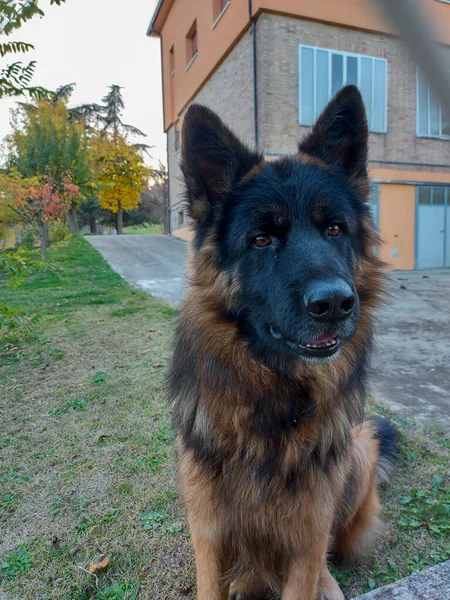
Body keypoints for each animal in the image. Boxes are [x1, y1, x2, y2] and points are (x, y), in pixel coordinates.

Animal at [168, 85, 398, 600]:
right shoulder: (209, 535)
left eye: (334, 229)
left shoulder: (306, 539)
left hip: (353, 461)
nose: (334, 303)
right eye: (261, 239)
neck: (275, 400)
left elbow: (310, 563)